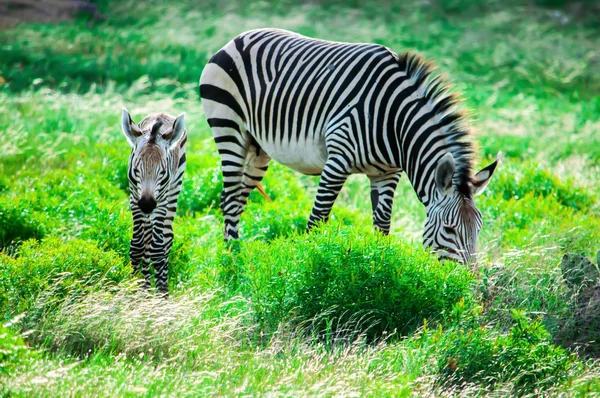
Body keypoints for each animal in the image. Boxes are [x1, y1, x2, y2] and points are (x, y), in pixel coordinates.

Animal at [120, 107, 186, 294]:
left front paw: (161, 293)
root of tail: (162, 112)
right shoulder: (134, 199)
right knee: (147, 241)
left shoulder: (161, 201)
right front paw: (137, 287)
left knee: (166, 238)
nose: (147, 205)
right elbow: (137, 246)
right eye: (136, 169)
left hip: (173, 191)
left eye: (162, 172)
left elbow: (158, 249)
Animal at [199, 28, 500, 264]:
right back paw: (232, 261)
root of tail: (237, 39)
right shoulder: (337, 161)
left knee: (238, 198)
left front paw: (382, 269)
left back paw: (237, 253)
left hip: (257, 147)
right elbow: (318, 218)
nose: (468, 281)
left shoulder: (387, 173)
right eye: (449, 229)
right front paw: (309, 269)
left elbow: (382, 226)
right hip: (229, 128)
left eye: (479, 229)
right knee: (229, 198)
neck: (394, 123)